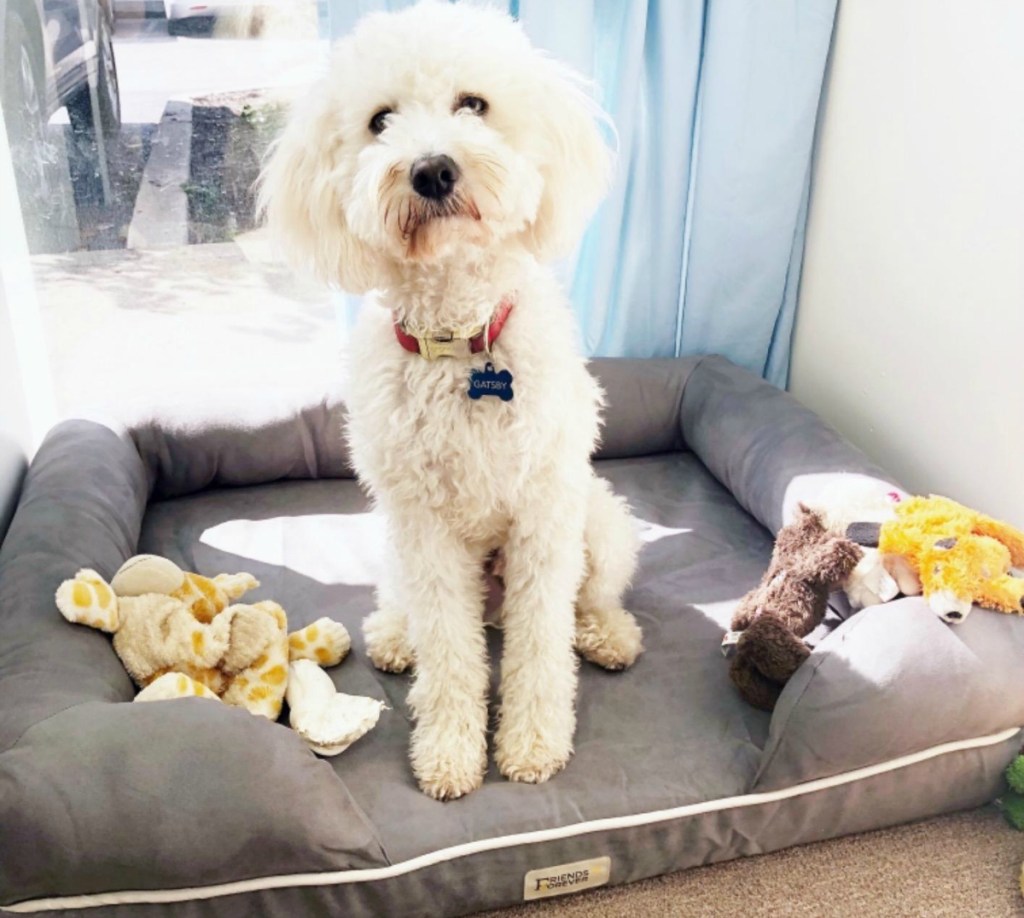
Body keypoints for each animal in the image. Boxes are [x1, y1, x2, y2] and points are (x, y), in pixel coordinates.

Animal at [260, 0, 643, 799]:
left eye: (474, 104)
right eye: (380, 120)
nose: (432, 169)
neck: (459, 340)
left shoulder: (543, 515)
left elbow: (541, 644)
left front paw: (532, 743)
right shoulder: (425, 527)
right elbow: (449, 650)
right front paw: (449, 753)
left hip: (600, 527)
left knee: (588, 601)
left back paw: (609, 635)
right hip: (399, 548)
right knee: (418, 613)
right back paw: (395, 636)